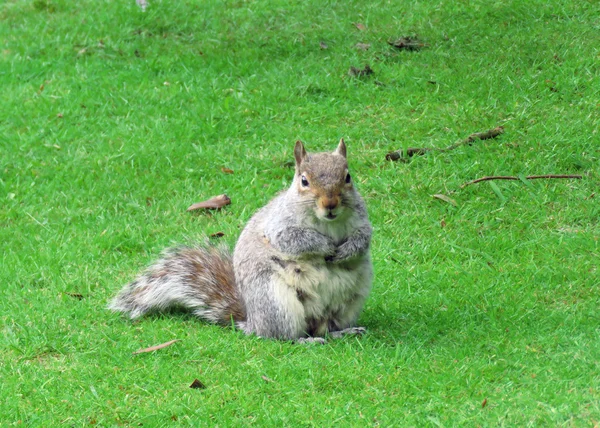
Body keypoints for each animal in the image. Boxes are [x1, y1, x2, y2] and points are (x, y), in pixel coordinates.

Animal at [107, 140, 370, 344]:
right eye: (304, 181)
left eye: (348, 177)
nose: (330, 204)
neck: (328, 222)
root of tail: (251, 322)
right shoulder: (279, 225)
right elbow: (294, 240)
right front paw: (325, 245)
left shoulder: (363, 221)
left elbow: (364, 238)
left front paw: (347, 250)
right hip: (276, 302)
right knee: (281, 336)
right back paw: (305, 340)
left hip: (348, 304)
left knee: (325, 328)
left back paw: (343, 332)